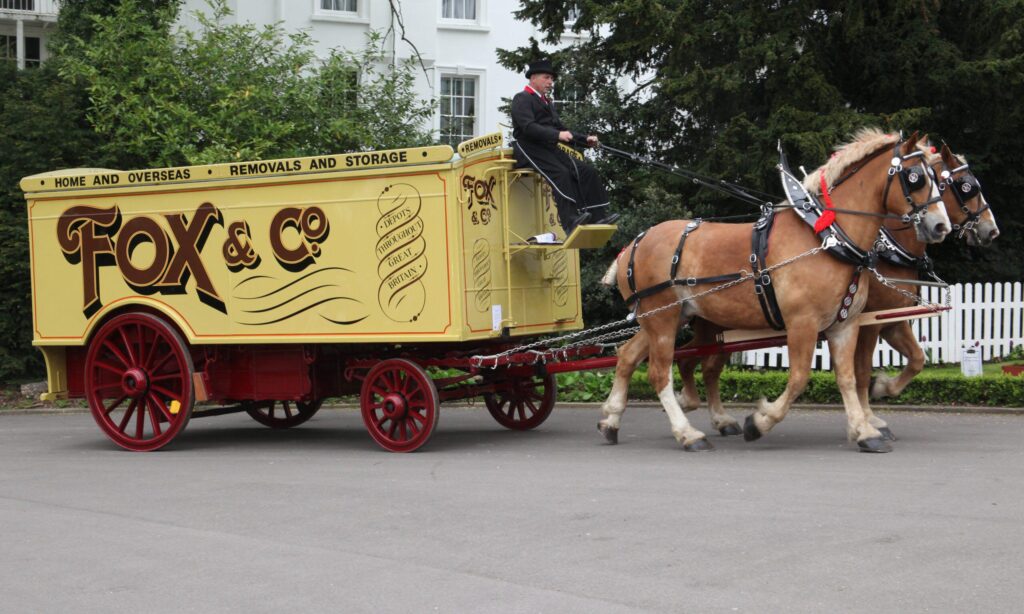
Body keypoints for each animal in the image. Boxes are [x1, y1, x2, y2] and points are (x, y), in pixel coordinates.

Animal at [598, 129, 950, 452]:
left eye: (938, 178)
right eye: (915, 177)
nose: (940, 226)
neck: (828, 238)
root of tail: (633, 245)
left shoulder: (845, 325)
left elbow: (848, 377)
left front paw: (865, 431)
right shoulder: (803, 323)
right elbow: (799, 378)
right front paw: (760, 421)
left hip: (665, 318)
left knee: (627, 356)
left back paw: (611, 419)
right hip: (663, 319)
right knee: (660, 373)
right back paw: (688, 434)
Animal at [675, 142, 1003, 444]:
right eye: (966, 186)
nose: (991, 231)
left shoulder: (890, 321)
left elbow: (916, 359)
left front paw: (880, 395)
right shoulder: (868, 323)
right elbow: (862, 371)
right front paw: (870, 416)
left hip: (713, 323)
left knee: (700, 363)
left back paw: (708, 413)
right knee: (695, 362)